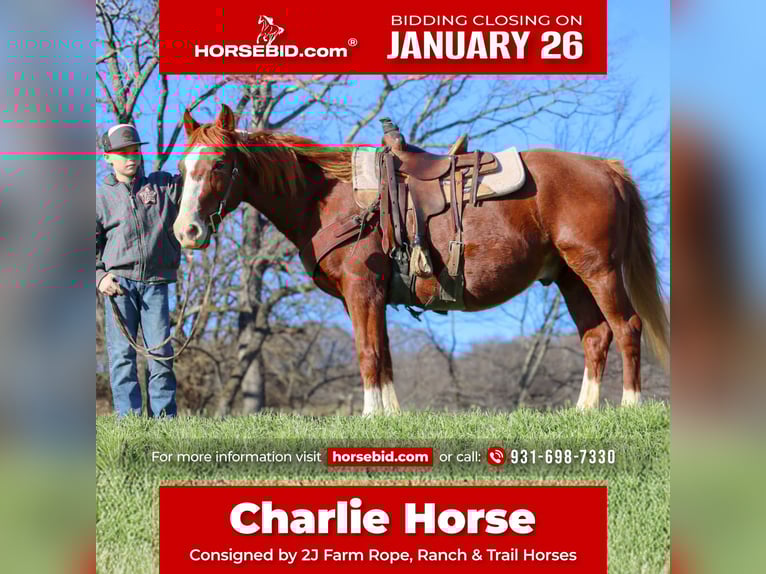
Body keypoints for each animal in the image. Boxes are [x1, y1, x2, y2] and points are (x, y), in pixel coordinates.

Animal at [174, 104, 669, 415]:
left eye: (220, 166)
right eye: (181, 169)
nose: (186, 232)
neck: (329, 197)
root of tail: (605, 167)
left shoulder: (362, 290)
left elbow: (368, 353)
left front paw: (370, 416)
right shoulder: (373, 296)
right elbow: (385, 355)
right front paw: (389, 415)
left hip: (599, 270)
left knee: (627, 328)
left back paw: (629, 405)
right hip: (570, 277)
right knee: (595, 337)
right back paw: (585, 411)